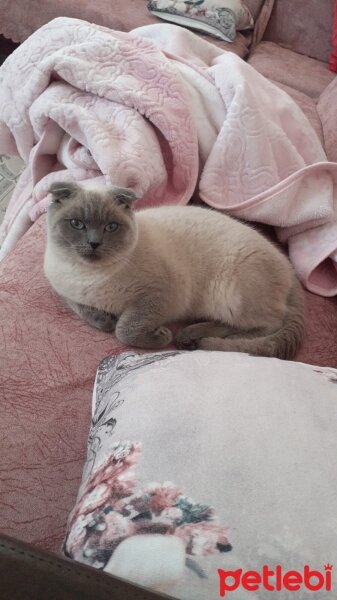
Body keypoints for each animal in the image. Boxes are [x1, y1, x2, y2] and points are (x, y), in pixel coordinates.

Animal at [43, 180, 304, 358]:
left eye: (111, 227)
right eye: (77, 224)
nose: (94, 244)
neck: (88, 276)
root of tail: (288, 265)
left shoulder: (155, 296)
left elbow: (124, 329)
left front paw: (160, 336)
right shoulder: (65, 291)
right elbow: (86, 312)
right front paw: (103, 319)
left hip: (231, 295)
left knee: (267, 326)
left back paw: (197, 340)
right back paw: (190, 336)